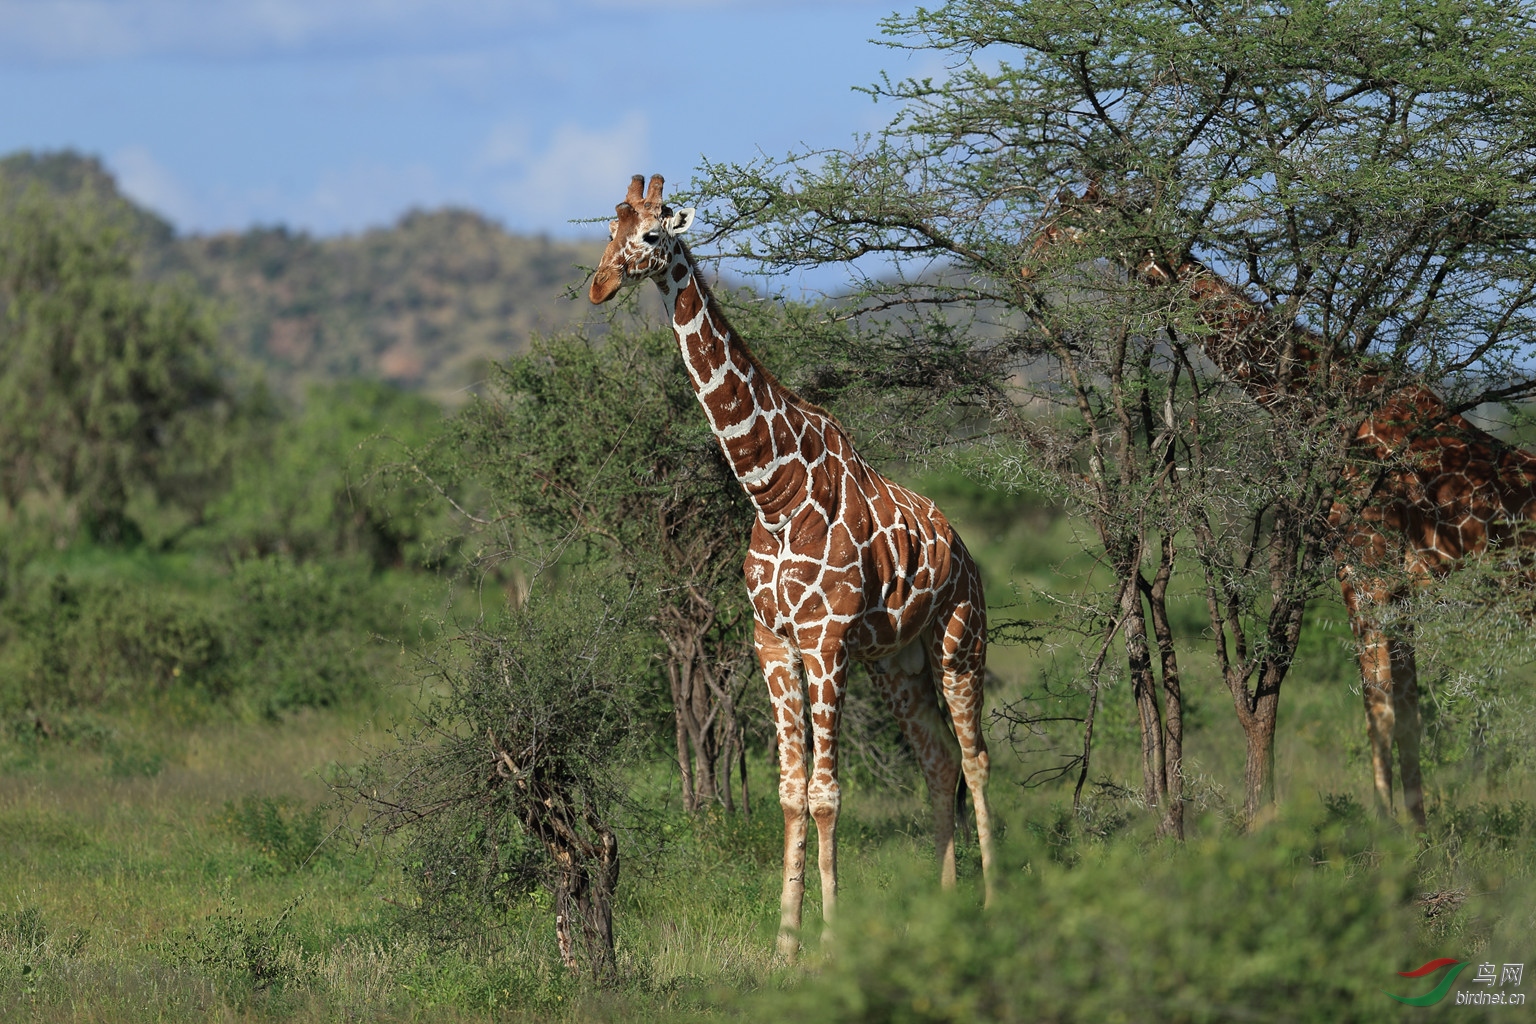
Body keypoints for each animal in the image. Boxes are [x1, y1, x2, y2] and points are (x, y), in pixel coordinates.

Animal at [586, 174, 995, 951]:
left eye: (651, 234)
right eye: (608, 228)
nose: (598, 284)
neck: (773, 491)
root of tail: (962, 548)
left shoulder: (825, 641)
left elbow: (826, 792)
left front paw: (829, 942)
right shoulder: (773, 642)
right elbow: (788, 792)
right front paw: (784, 943)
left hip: (960, 643)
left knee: (976, 759)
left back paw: (995, 897)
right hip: (896, 662)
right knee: (937, 762)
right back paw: (946, 901)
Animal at [1026, 194, 1536, 835]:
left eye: (1062, 221)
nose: (1022, 264)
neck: (1336, 411)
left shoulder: (1371, 571)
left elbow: (1382, 708)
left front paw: (1394, 833)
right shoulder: (1376, 579)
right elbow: (1400, 709)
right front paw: (1414, 829)